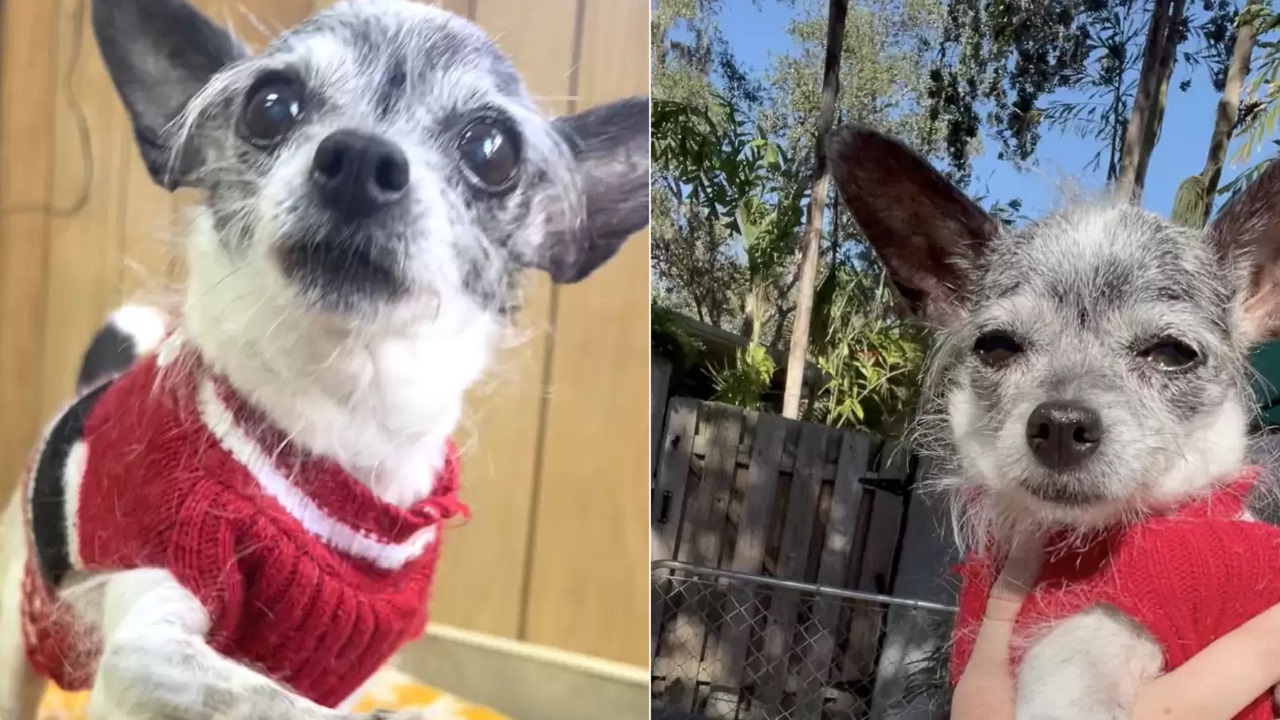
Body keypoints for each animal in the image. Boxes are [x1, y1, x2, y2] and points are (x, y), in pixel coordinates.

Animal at [0, 1, 640, 717]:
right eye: (270, 107)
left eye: (492, 151)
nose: (360, 156)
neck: (342, 416)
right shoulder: (152, 646)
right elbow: (268, 696)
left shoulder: (347, 670)